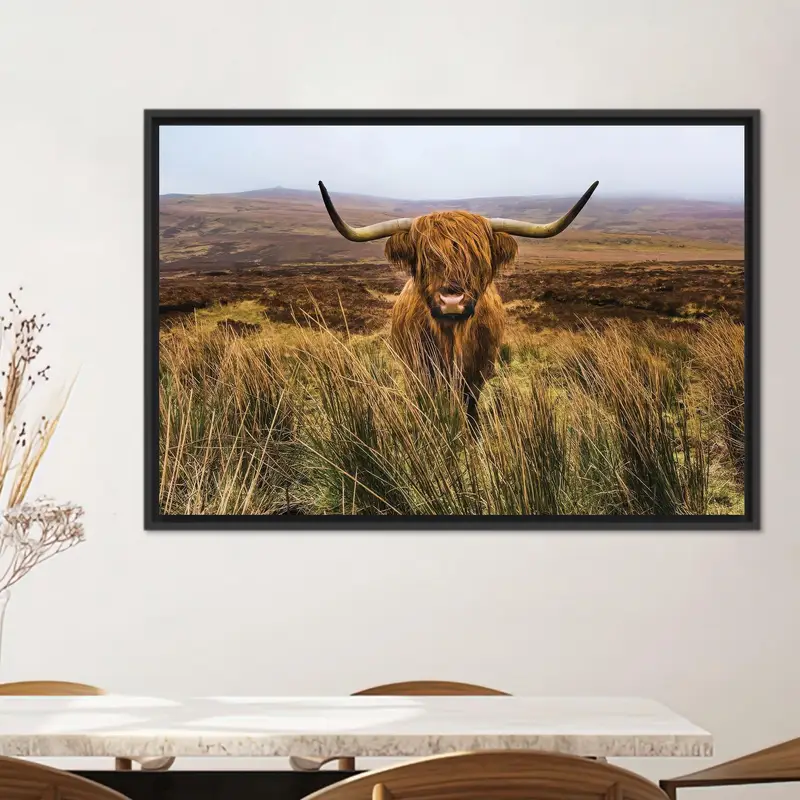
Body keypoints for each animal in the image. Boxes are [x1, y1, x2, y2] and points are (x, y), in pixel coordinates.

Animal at [318, 179, 599, 430]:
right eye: (425, 257)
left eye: (478, 258)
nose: (451, 302)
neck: (452, 338)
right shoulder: (418, 369)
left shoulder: (479, 370)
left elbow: (470, 403)